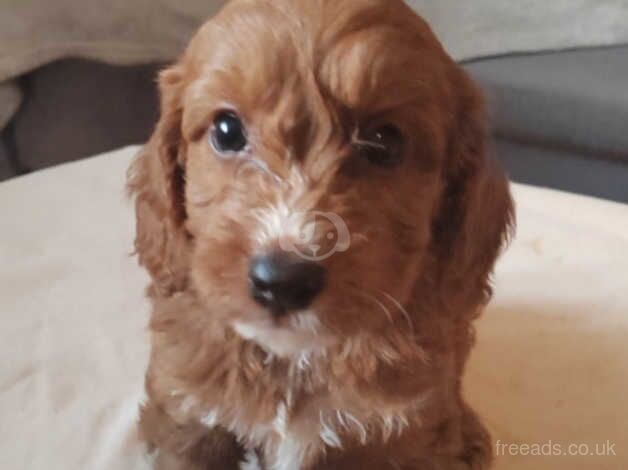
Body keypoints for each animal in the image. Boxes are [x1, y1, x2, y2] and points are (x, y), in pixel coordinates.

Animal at [129, 1, 516, 468]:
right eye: (226, 130)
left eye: (384, 142)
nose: (282, 281)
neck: (296, 359)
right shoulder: (190, 421)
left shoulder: (406, 435)